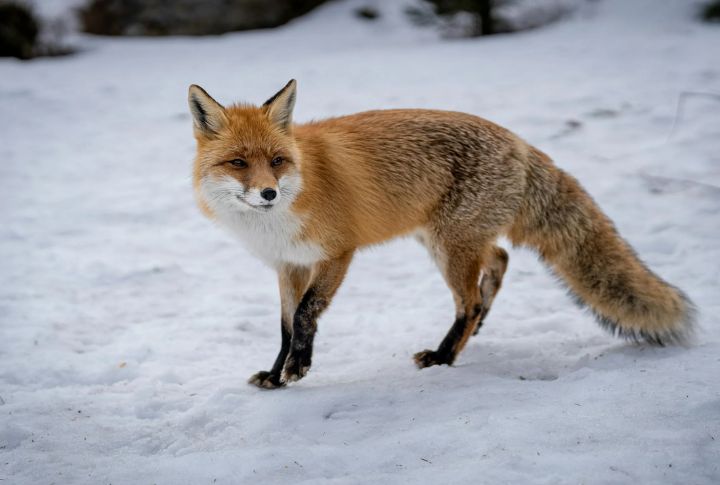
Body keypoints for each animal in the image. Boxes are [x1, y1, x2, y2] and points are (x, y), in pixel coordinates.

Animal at [188, 79, 695, 389]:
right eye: (238, 162)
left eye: (277, 161)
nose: (269, 193)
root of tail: (520, 142)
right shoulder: (288, 265)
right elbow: (286, 326)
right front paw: (276, 375)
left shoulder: (337, 254)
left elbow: (307, 315)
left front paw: (298, 367)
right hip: (445, 239)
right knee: (500, 259)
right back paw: (477, 325)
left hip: (448, 247)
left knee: (468, 300)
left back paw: (444, 355)